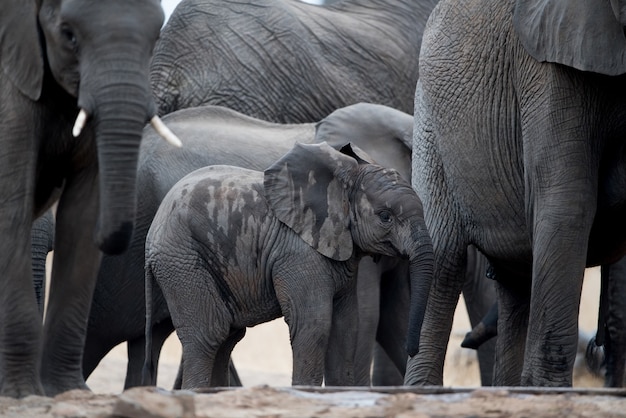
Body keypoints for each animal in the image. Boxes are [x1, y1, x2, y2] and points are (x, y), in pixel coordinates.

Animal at [0, 0, 178, 398]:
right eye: (68, 34)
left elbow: (82, 213)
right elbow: (11, 204)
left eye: (156, 37)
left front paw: (66, 392)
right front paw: (22, 394)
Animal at [144, 143, 432, 388]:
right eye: (385, 217)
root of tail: (152, 231)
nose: (412, 349)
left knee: (227, 337)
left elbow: (347, 325)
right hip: (182, 261)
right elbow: (314, 323)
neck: (342, 181)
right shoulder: (298, 252)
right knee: (208, 335)